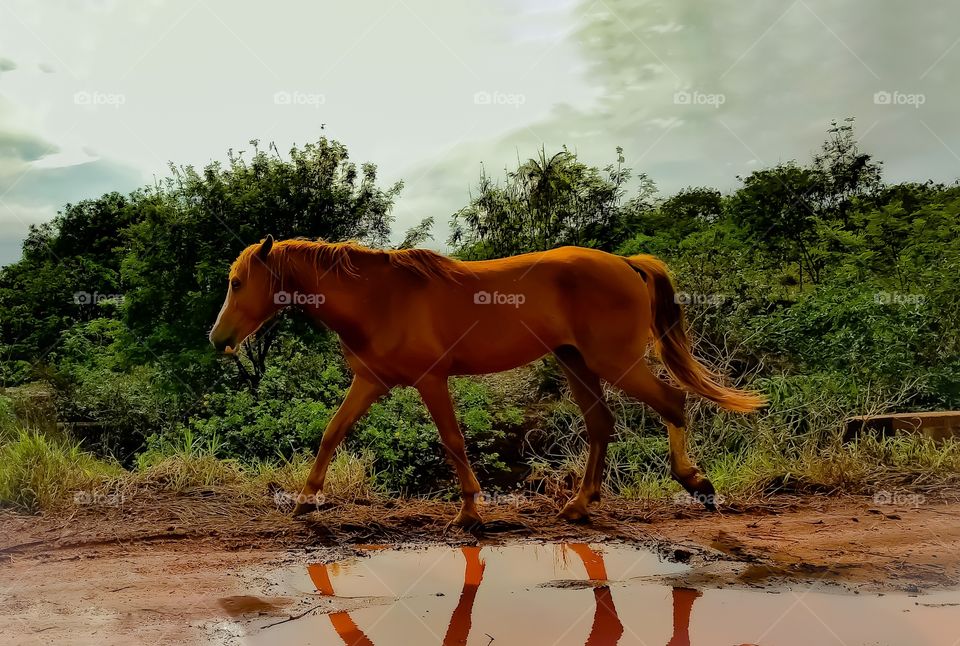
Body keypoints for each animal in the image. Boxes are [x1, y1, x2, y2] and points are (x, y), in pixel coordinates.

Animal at [209, 235, 764, 526]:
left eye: (236, 283)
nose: (218, 339)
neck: (379, 298)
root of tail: (627, 263)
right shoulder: (370, 382)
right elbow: (331, 434)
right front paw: (305, 500)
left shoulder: (431, 380)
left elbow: (453, 441)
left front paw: (470, 512)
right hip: (576, 362)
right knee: (601, 424)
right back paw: (579, 504)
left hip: (613, 363)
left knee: (671, 402)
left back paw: (696, 483)